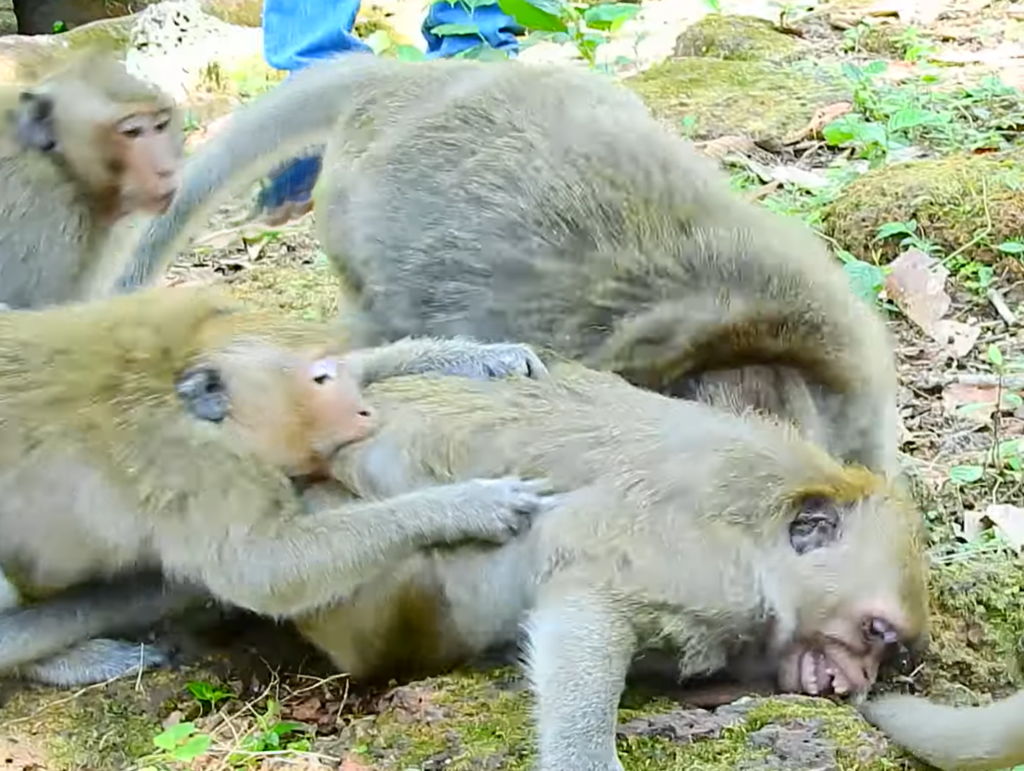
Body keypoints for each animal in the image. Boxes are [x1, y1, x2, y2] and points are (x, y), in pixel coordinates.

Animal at [0, 286, 560, 687]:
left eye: (331, 373)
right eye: (319, 382)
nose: (363, 411)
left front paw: (480, 357)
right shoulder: (193, 468)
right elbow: (261, 571)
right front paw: (466, 506)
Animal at [275, 362, 930, 771]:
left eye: (888, 652)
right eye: (874, 632)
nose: (857, 681)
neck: (765, 532)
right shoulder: (713, 573)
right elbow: (585, 595)